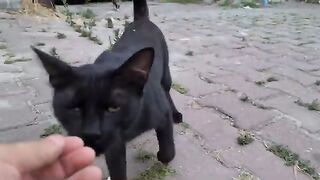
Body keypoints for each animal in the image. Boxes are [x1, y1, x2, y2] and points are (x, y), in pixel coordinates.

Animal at [32, 0, 182, 179]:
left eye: (114, 107)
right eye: (74, 108)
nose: (91, 133)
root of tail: (142, 20)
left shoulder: (162, 116)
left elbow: (168, 151)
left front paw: (162, 156)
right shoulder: (114, 146)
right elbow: (117, 170)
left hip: (166, 76)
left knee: (167, 90)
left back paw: (176, 114)